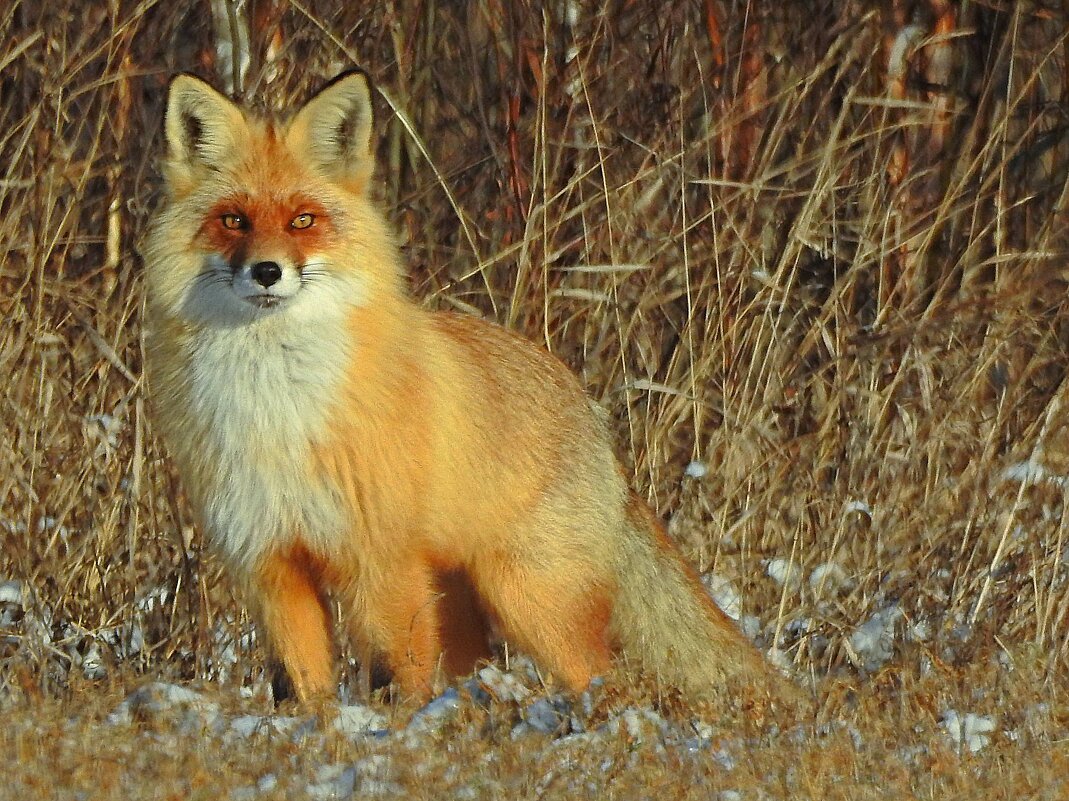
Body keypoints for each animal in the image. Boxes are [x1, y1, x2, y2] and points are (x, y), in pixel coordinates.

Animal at [142, 70, 778, 705]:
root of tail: (591, 414)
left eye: (303, 220)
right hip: (464, 601)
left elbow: (402, 676)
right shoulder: (270, 566)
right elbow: (306, 692)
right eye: (234, 220)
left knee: (605, 680)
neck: (276, 411)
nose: (268, 271)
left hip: (531, 601)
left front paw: (400, 727)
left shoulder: (381, 562)